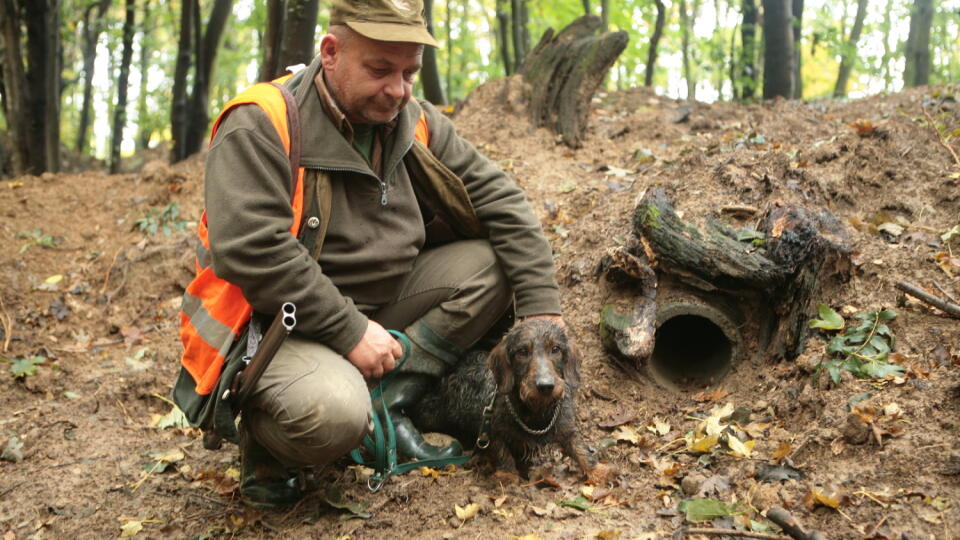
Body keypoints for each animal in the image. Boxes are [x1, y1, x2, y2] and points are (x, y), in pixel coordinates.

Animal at [410, 318, 596, 478]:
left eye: (555, 349)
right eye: (522, 351)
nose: (545, 386)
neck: (535, 412)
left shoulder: (566, 428)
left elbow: (581, 450)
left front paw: (596, 474)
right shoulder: (492, 433)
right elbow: (504, 456)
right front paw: (509, 478)